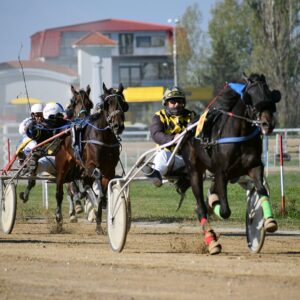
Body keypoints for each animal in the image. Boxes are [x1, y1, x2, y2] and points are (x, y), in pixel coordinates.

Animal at [54, 82, 128, 232]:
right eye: (107, 103)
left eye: (122, 103)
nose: (118, 125)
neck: (104, 138)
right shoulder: (90, 166)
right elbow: (97, 177)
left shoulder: (109, 170)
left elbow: (102, 191)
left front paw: (99, 222)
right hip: (63, 166)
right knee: (60, 191)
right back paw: (59, 220)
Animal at [180, 72, 282, 253]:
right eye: (250, 97)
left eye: (270, 95)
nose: (267, 124)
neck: (240, 134)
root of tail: (190, 128)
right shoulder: (221, 172)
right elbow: (225, 211)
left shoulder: (255, 167)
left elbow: (261, 189)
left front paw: (269, 221)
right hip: (194, 171)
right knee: (201, 206)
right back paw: (212, 241)